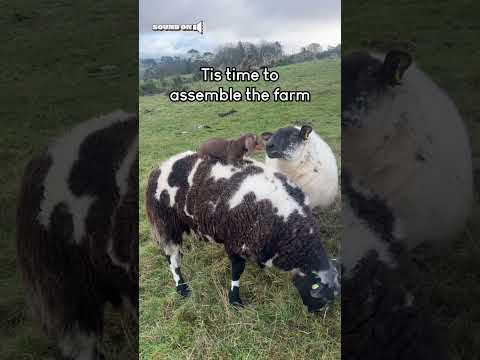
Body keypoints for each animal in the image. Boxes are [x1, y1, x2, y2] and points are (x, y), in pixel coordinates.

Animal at [144, 152, 340, 312]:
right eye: (317, 292)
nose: (316, 312)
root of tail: (159, 167)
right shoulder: (234, 241)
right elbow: (237, 271)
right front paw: (235, 300)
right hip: (165, 223)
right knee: (172, 258)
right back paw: (182, 287)